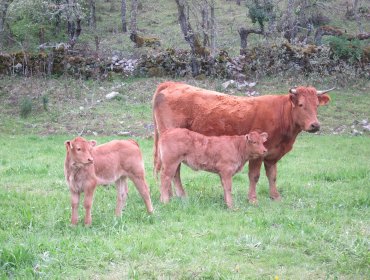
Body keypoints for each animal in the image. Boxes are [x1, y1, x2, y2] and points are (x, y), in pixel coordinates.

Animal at [152, 81, 334, 203]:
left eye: (317, 105)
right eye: (301, 104)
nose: (315, 125)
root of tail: (172, 84)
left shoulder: (272, 155)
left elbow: (272, 176)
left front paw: (275, 196)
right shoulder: (258, 154)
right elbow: (254, 176)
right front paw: (252, 199)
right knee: (172, 171)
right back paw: (177, 196)